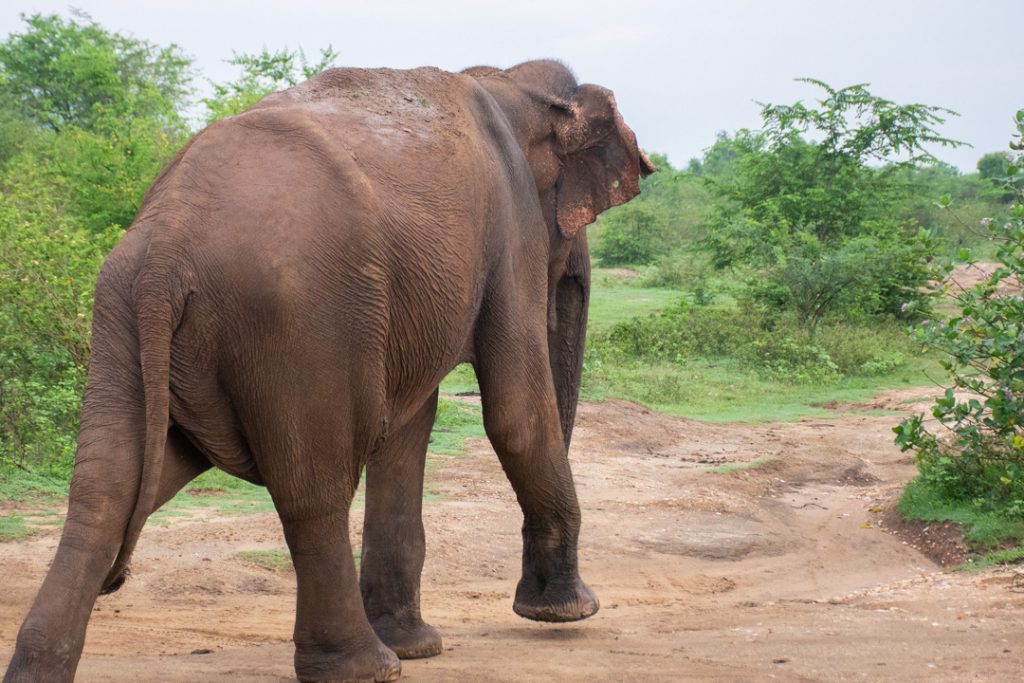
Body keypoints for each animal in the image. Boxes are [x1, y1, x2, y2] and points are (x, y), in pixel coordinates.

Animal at [4, 59, 653, 683]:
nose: (555, 602)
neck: (510, 82)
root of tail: (168, 242)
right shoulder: (510, 233)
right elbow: (515, 412)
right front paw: (568, 612)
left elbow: (407, 431)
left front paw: (422, 646)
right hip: (298, 320)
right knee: (312, 491)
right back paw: (367, 669)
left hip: (123, 311)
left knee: (111, 487)